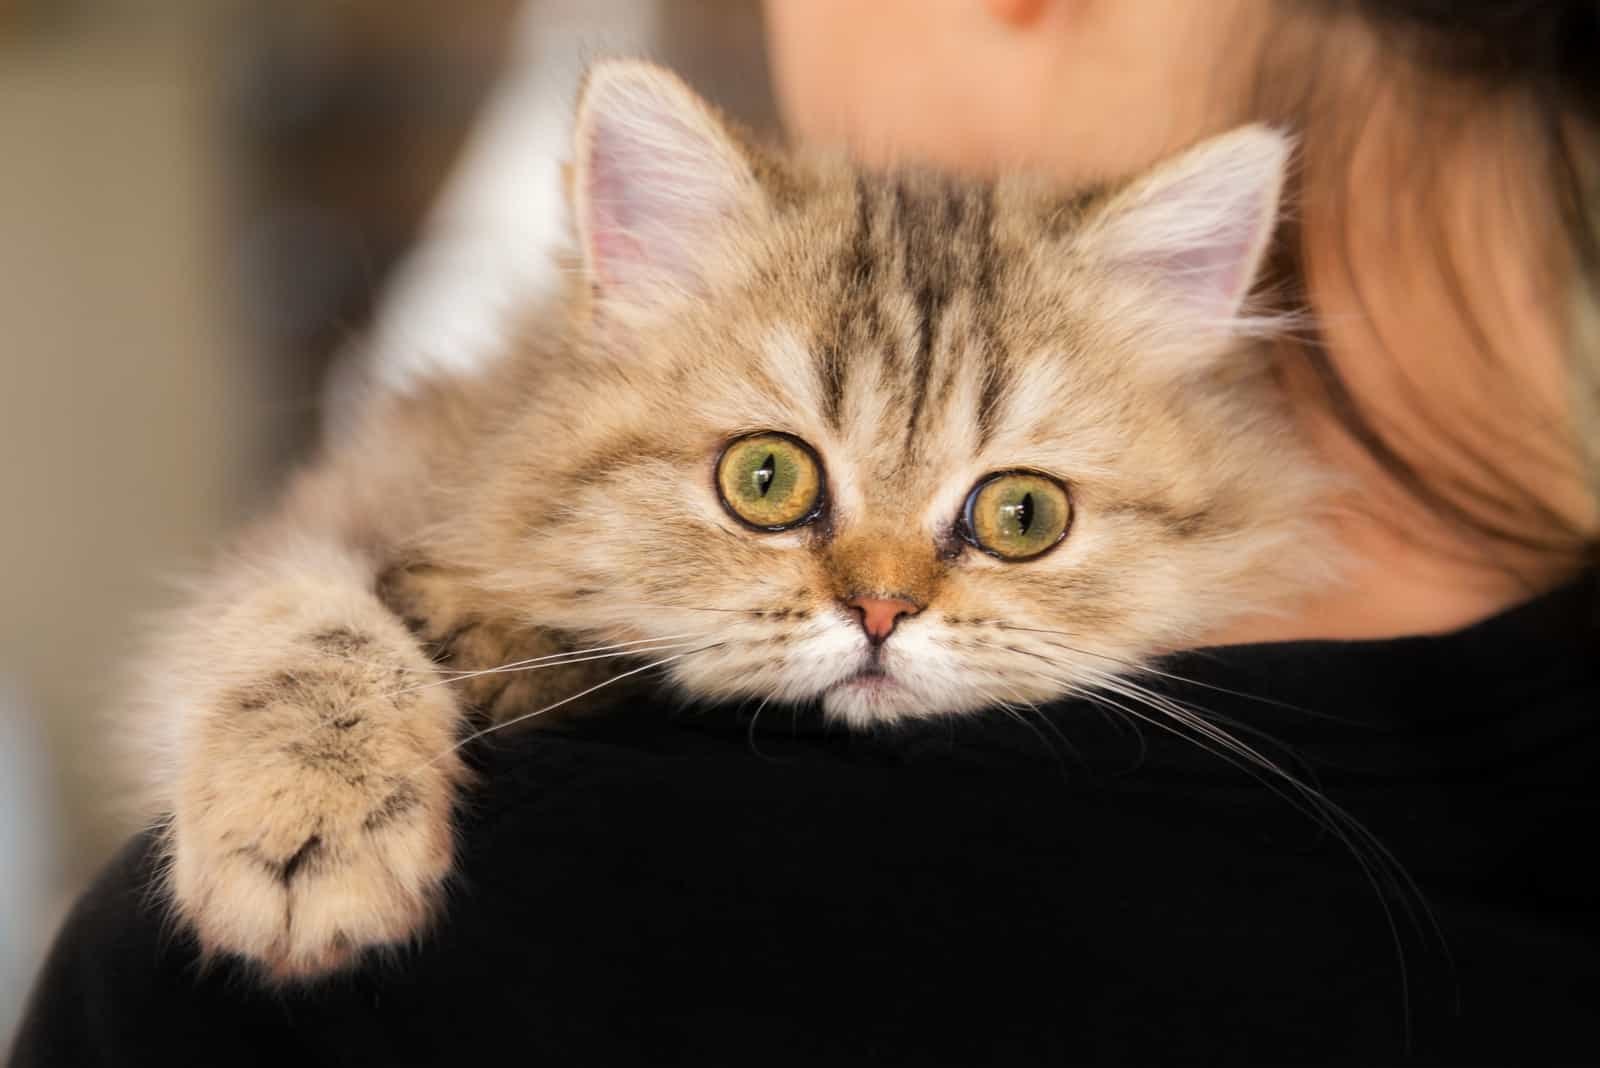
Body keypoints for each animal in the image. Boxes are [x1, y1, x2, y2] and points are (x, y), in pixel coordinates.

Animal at [137, 56, 1331, 978]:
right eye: (765, 481)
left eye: (1023, 514)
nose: (882, 612)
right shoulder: (345, 498)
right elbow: (302, 628)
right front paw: (304, 823)